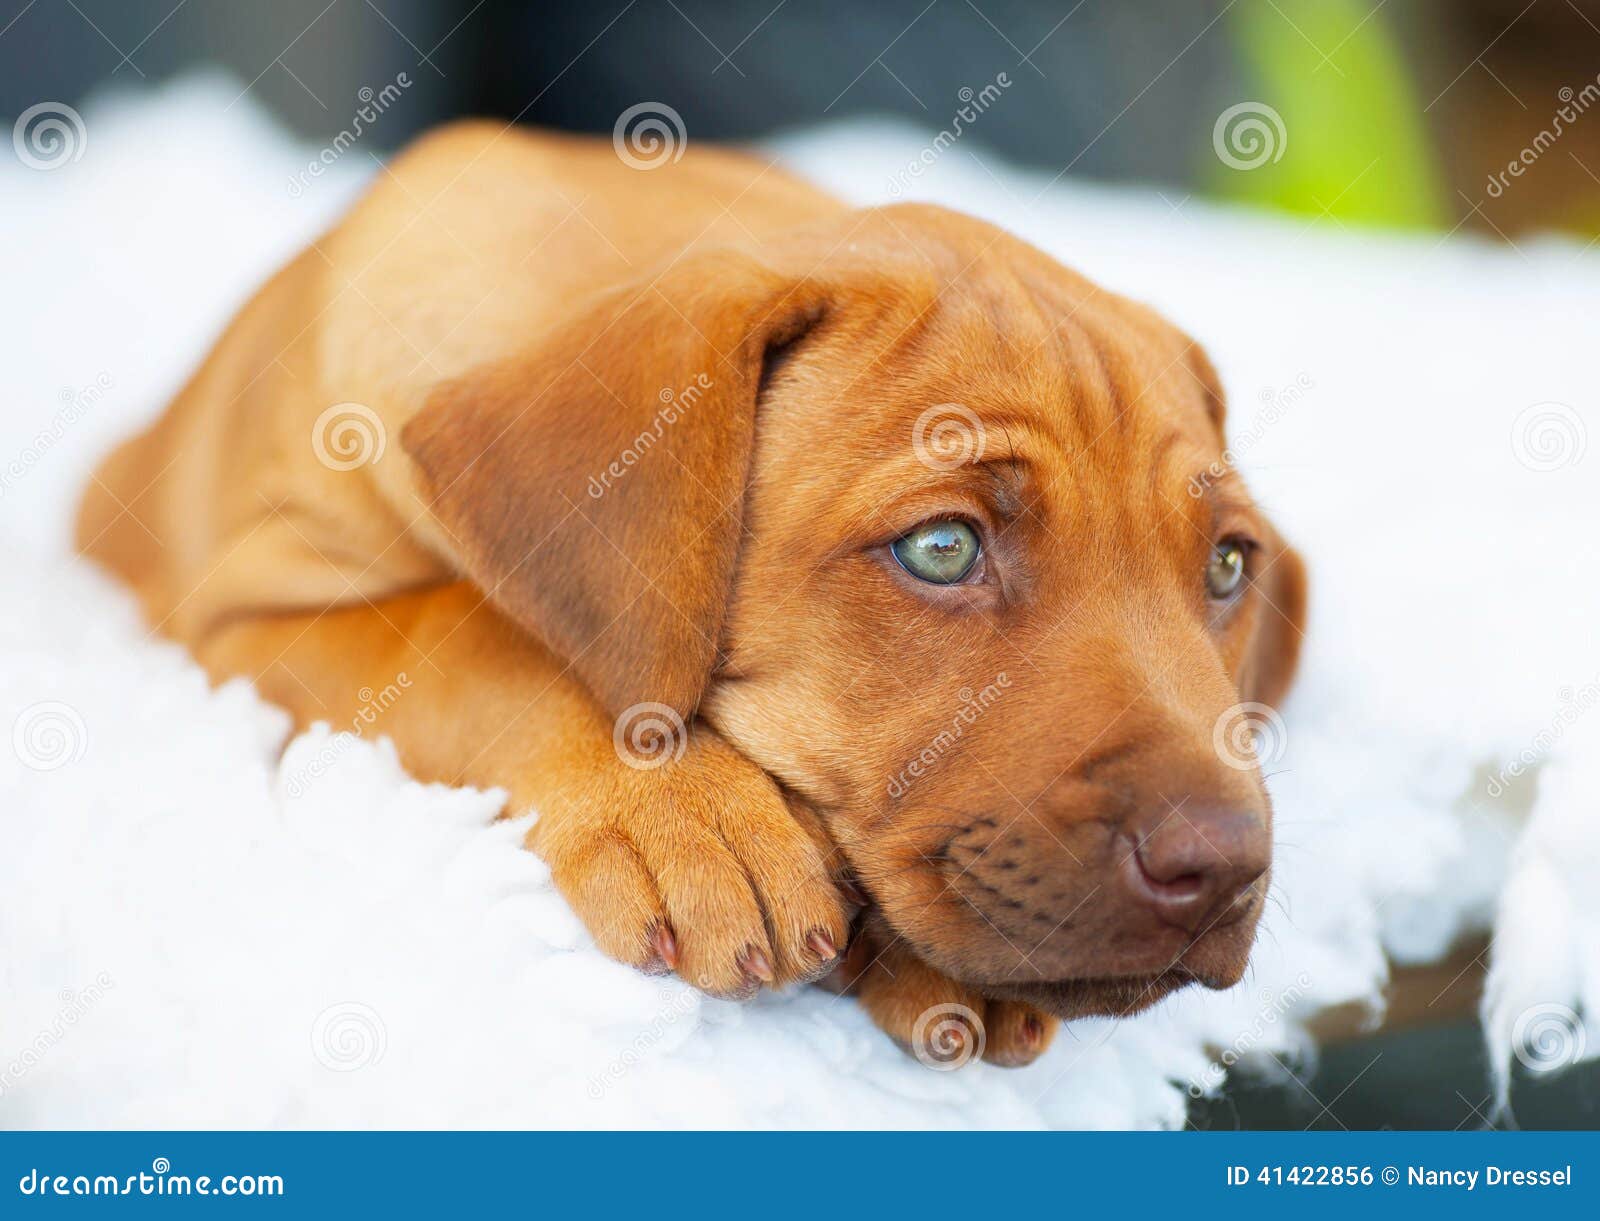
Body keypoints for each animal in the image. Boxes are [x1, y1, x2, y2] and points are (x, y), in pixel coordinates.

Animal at [75, 124, 1305, 1068]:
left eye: (1226, 567)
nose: (1223, 872)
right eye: (944, 548)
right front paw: (679, 811)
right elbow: (470, 635)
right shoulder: (244, 624)